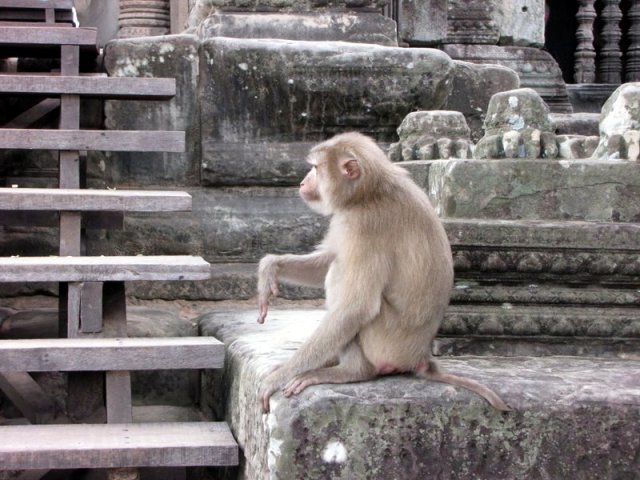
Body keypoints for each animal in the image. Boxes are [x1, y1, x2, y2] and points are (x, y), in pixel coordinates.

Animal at [255, 131, 510, 412]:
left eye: (315, 168)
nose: (302, 182)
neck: (368, 192)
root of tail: (421, 356)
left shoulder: (364, 226)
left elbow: (356, 307)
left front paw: (279, 378)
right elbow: (326, 260)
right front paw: (270, 266)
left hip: (385, 344)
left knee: (343, 283)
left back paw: (351, 371)